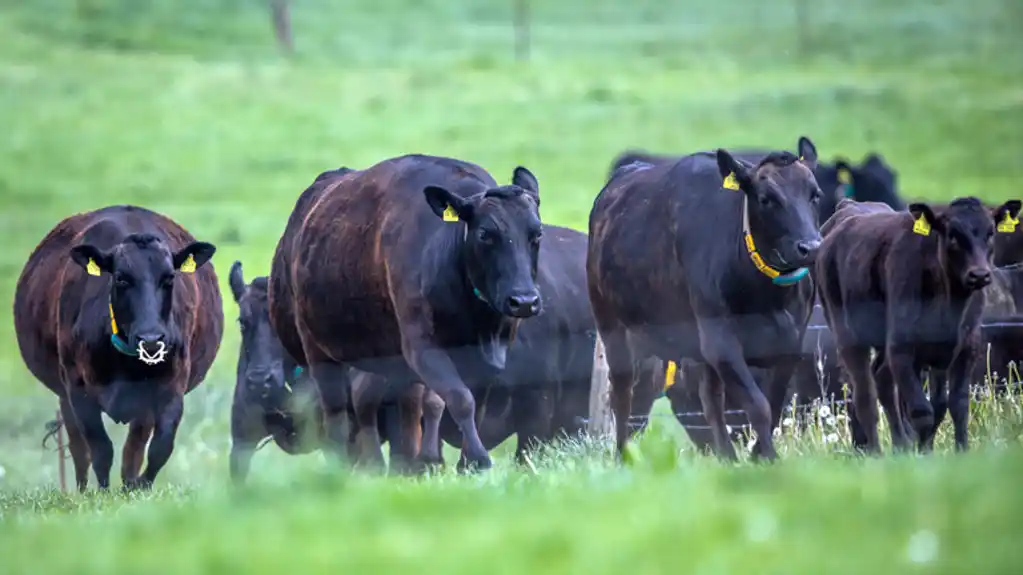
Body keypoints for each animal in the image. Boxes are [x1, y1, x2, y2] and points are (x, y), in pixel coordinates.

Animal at [270, 156, 544, 470]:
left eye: (537, 233)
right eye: (485, 234)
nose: (524, 301)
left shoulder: (493, 350)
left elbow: (474, 403)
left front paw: (468, 463)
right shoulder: (421, 345)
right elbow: (460, 398)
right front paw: (479, 458)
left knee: (379, 398)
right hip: (316, 347)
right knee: (336, 411)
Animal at [589, 136, 818, 458]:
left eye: (815, 195)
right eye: (766, 199)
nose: (810, 247)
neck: (767, 297)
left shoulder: (792, 341)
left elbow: (772, 405)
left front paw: (758, 455)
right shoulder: (720, 340)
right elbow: (758, 405)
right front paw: (770, 458)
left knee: (710, 400)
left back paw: (728, 458)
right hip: (611, 324)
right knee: (622, 393)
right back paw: (623, 456)